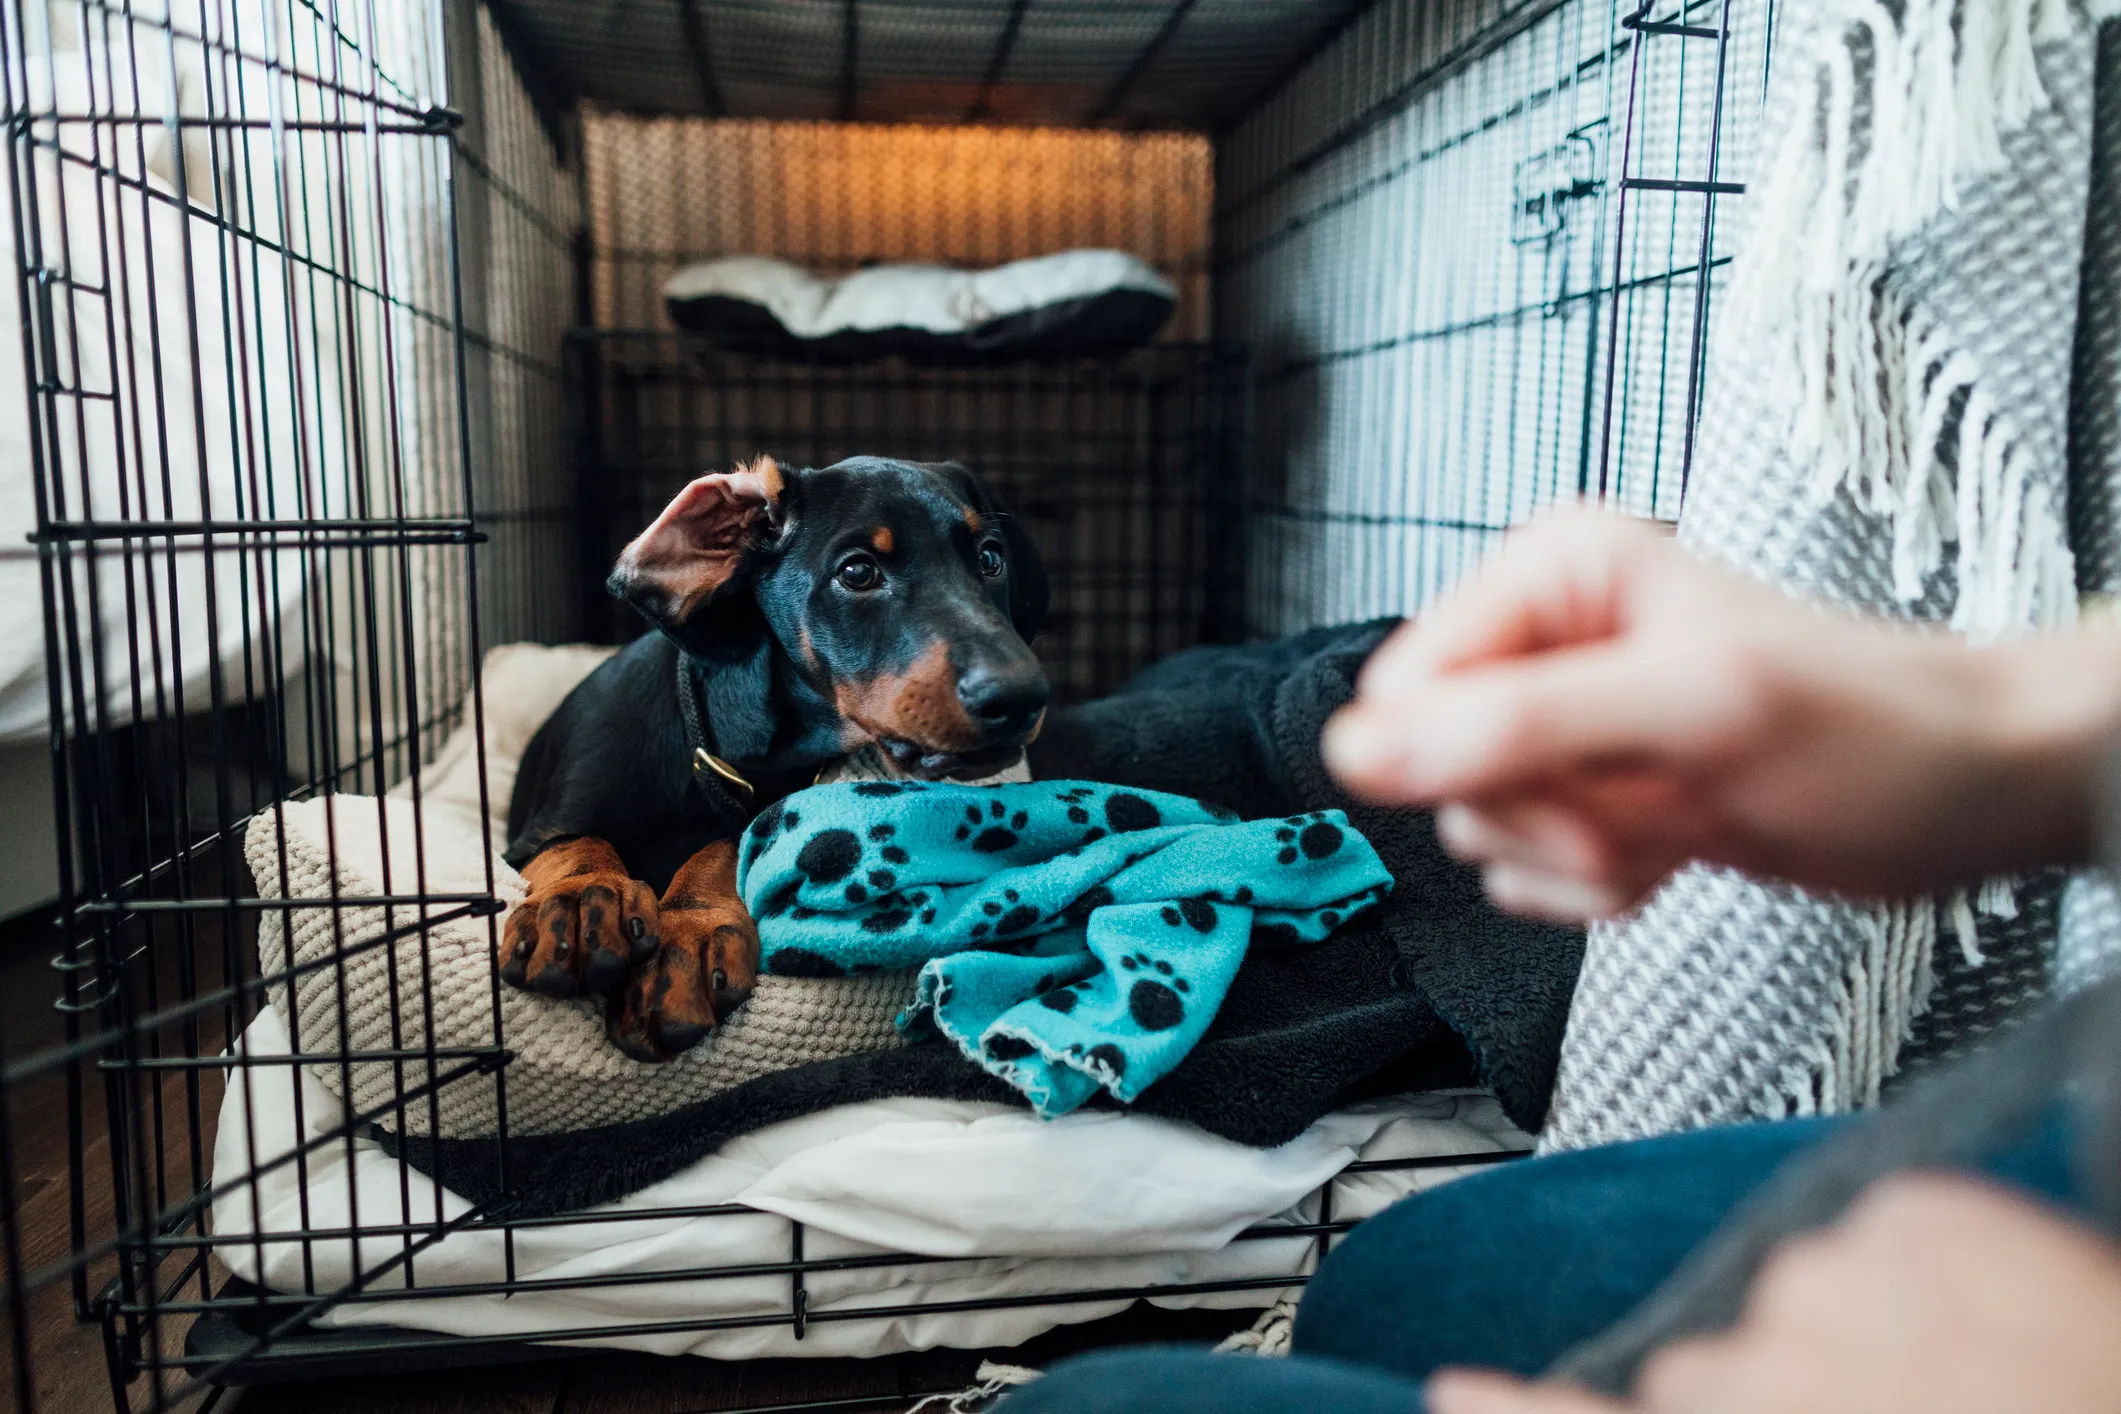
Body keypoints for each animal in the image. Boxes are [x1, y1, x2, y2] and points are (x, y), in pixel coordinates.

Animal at [504, 453, 1052, 1059]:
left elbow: (727, 846)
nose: (1021, 696)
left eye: (990, 559)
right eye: (857, 572)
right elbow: (574, 842)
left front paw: (686, 935)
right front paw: (582, 898)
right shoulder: (526, 838)